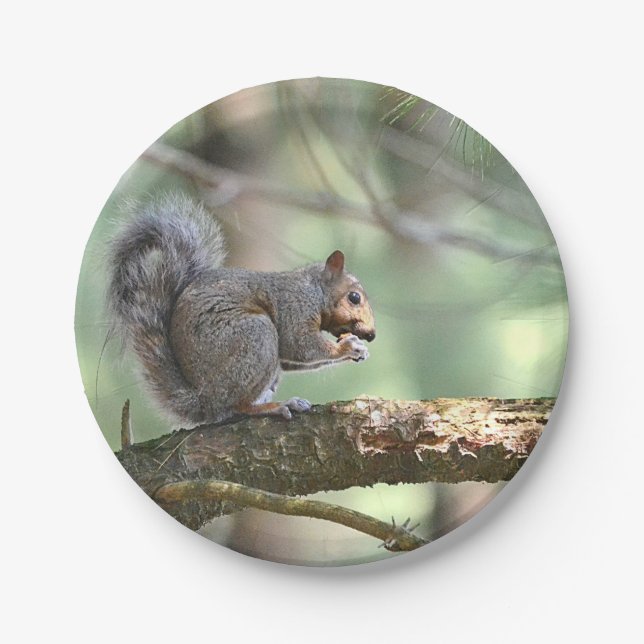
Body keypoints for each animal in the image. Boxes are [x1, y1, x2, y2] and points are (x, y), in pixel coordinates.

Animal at [106, 194, 376, 427]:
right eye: (354, 297)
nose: (371, 334)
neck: (314, 290)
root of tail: (205, 399)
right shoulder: (294, 307)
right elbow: (298, 344)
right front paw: (348, 348)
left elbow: (291, 358)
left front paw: (358, 350)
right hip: (256, 337)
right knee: (238, 407)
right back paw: (274, 407)